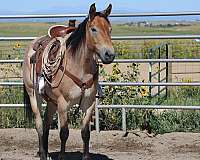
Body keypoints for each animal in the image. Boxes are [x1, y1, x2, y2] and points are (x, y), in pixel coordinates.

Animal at [22, 2, 115, 160]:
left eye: (110, 29)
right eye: (94, 29)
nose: (110, 54)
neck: (80, 67)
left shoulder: (88, 103)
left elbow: (85, 133)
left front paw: (86, 157)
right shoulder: (63, 103)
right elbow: (64, 133)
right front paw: (61, 156)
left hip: (52, 101)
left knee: (46, 124)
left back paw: (46, 153)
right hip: (34, 95)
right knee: (39, 125)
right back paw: (42, 154)